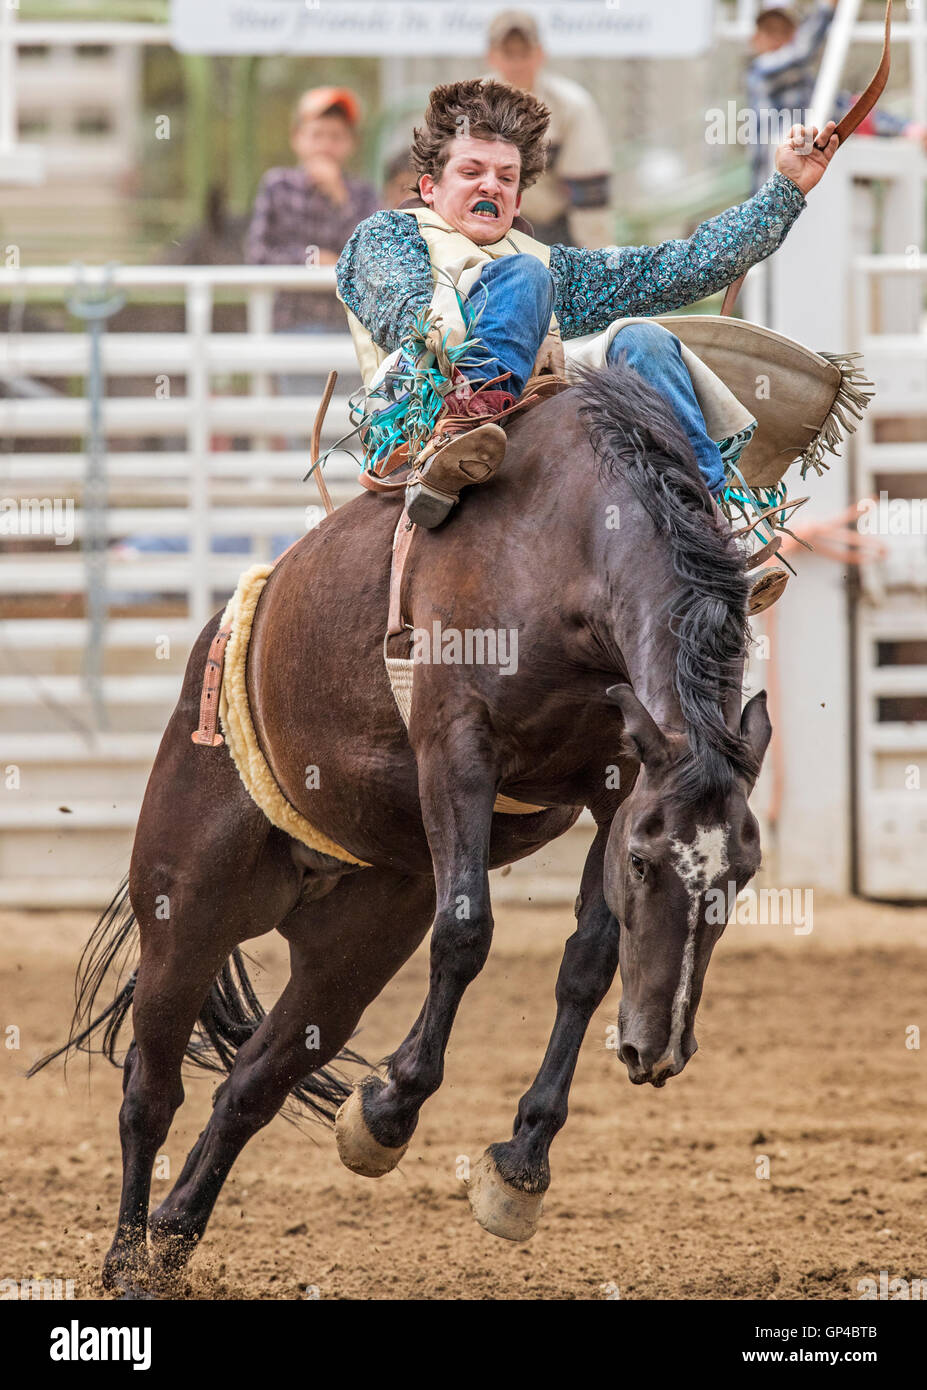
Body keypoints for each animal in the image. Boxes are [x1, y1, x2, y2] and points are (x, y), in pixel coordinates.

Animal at [30, 358, 767, 1289]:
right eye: (644, 865)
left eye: (741, 874)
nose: (657, 1048)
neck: (566, 541)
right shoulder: (455, 742)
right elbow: (466, 934)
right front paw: (386, 1111)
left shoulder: (620, 781)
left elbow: (589, 962)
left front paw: (520, 1164)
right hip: (186, 907)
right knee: (148, 1091)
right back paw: (129, 1260)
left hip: (352, 948)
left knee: (249, 1086)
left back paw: (172, 1234)